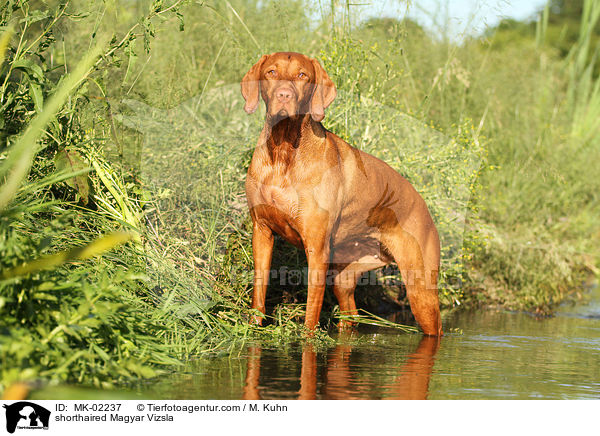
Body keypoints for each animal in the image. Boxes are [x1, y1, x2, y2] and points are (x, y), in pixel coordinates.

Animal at [241, 52, 442, 338]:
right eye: (271, 72)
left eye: (302, 75)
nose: (284, 95)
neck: (283, 151)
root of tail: (423, 203)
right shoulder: (262, 231)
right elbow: (259, 290)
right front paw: (252, 327)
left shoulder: (317, 248)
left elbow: (311, 309)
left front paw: (308, 339)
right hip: (345, 276)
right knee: (351, 314)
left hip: (421, 292)